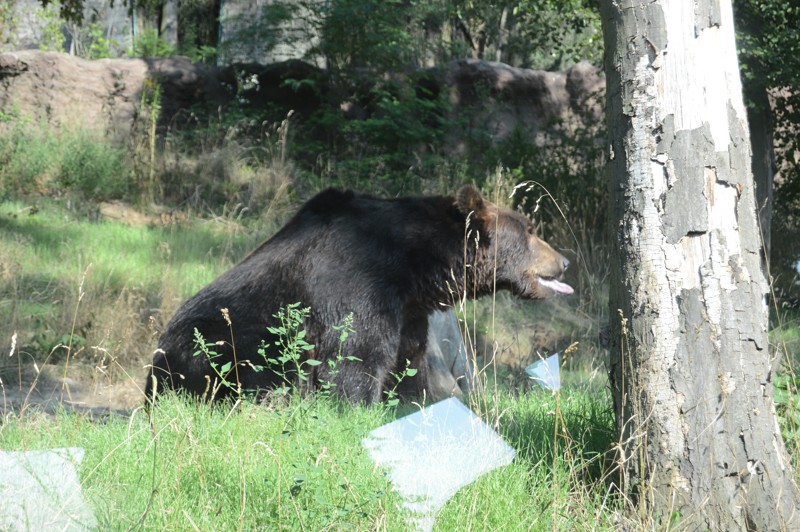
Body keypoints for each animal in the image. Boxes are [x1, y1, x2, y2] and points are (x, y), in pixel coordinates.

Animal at [142, 186, 568, 404]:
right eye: (530, 229)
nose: (563, 261)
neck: (414, 265)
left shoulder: (409, 312)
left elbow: (408, 365)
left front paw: (412, 404)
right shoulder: (356, 284)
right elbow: (354, 359)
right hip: (218, 343)